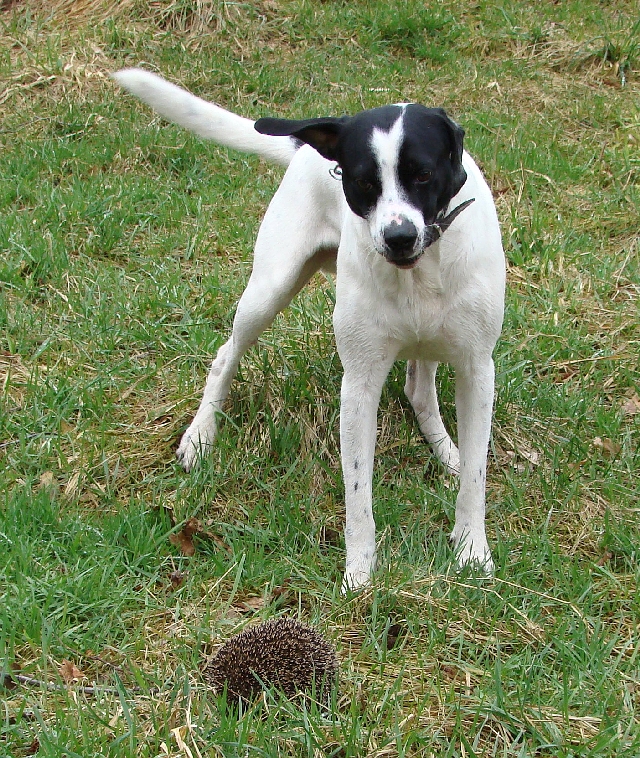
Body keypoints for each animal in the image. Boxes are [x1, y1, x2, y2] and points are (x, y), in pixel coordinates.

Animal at [114, 70, 504, 592]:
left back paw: (446, 450)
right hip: (270, 287)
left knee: (420, 390)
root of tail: (310, 146)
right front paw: (360, 573)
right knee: (225, 356)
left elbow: (475, 479)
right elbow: (358, 491)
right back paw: (200, 435)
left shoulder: (478, 369)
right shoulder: (359, 383)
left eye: (423, 174)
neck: (418, 270)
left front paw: (472, 552)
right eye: (363, 182)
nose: (398, 237)